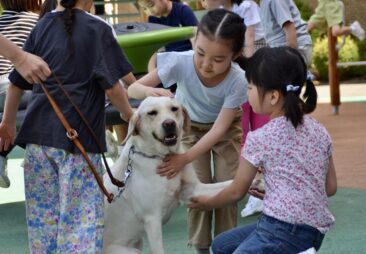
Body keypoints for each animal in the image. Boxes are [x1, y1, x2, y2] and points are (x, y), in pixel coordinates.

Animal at [101, 96, 230, 253]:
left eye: (174, 109)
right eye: (152, 113)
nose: (169, 123)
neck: (160, 156)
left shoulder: (192, 190)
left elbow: (227, 184)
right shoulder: (152, 219)